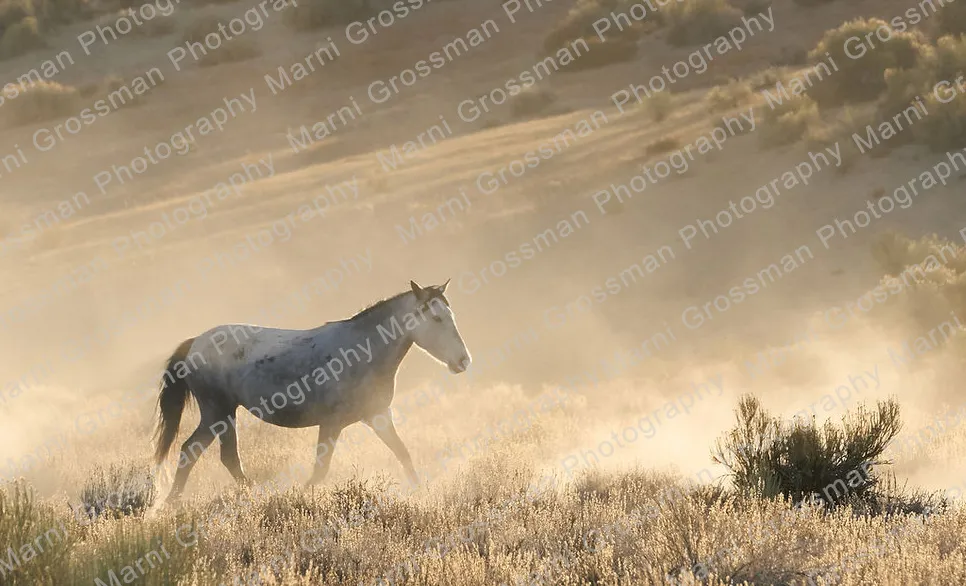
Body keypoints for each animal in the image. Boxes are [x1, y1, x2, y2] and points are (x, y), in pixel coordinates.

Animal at [152, 280, 471, 502]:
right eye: (436, 318)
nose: (463, 361)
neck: (363, 351)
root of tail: (194, 343)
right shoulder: (331, 424)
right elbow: (320, 470)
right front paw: (301, 496)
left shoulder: (378, 416)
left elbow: (403, 454)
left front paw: (421, 494)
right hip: (218, 412)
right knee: (204, 453)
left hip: (222, 414)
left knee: (206, 454)